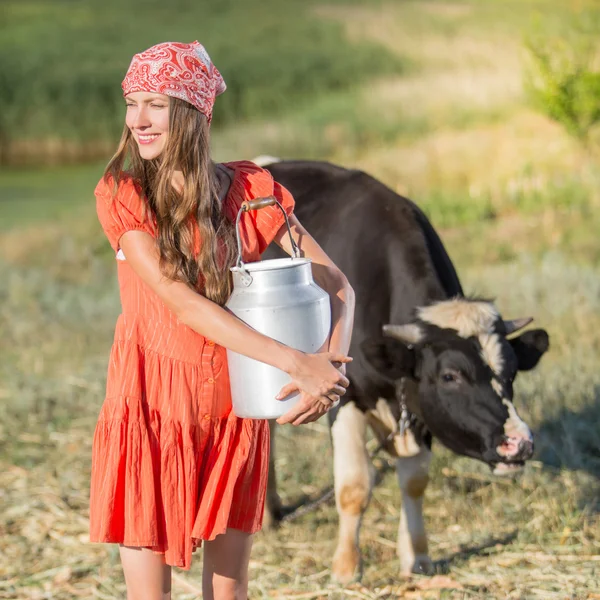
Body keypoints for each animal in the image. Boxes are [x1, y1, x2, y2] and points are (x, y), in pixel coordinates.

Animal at [258, 159, 548, 580]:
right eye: (450, 376)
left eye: (510, 373)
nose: (519, 443)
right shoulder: (345, 395)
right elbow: (354, 485)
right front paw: (346, 566)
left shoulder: (419, 408)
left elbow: (414, 482)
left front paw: (417, 556)